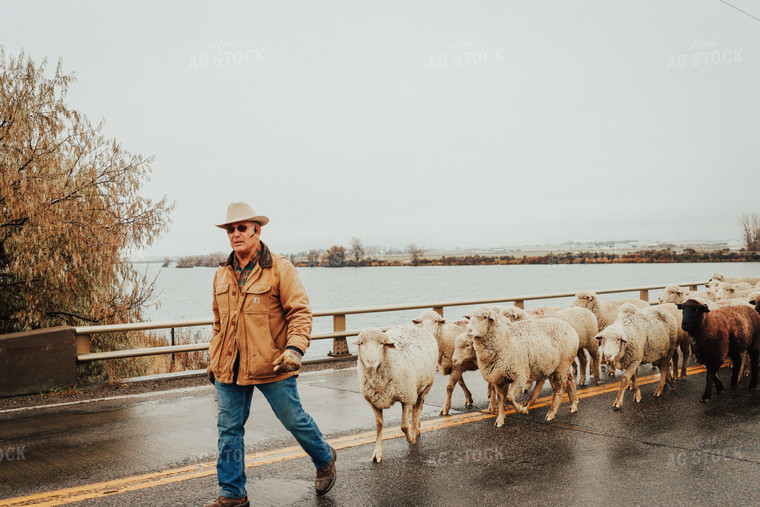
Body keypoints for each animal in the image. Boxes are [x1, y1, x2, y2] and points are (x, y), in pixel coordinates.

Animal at [354, 326, 436, 464]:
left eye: (382, 343)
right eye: (361, 343)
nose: (371, 361)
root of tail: (416, 327)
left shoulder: (406, 397)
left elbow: (403, 426)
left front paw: (411, 438)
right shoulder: (374, 403)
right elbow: (379, 426)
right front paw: (377, 453)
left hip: (424, 386)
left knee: (418, 407)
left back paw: (415, 429)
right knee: (415, 409)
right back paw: (416, 427)